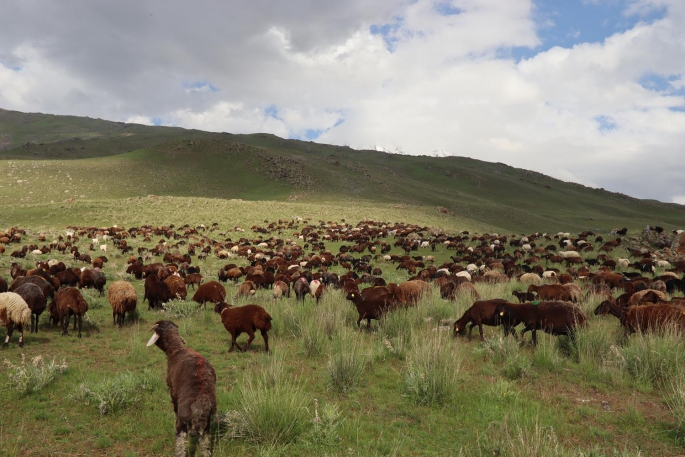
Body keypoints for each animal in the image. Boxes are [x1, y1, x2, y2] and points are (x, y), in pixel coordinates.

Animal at [146, 320, 215, 456]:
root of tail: (201, 400)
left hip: (183, 419)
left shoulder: (173, 392)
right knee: (205, 444)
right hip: (207, 424)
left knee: (181, 441)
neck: (176, 350)